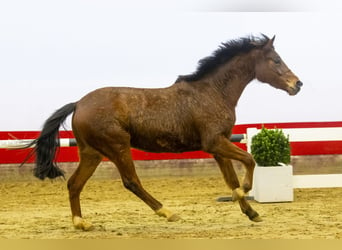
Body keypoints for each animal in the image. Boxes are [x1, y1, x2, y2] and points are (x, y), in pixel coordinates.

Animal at [23, 34, 302, 230]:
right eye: (276, 60)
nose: (297, 84)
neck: (212, 92)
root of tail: (79, 104)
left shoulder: (219, 148)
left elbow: (231, 179)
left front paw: (251, 212)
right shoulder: (214, 142)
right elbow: (249, 160)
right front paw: (244, 190)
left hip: (92, 153)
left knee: (74, 183)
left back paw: (81, 223)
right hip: (118, 146)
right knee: (131, 182)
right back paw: (168, 212)